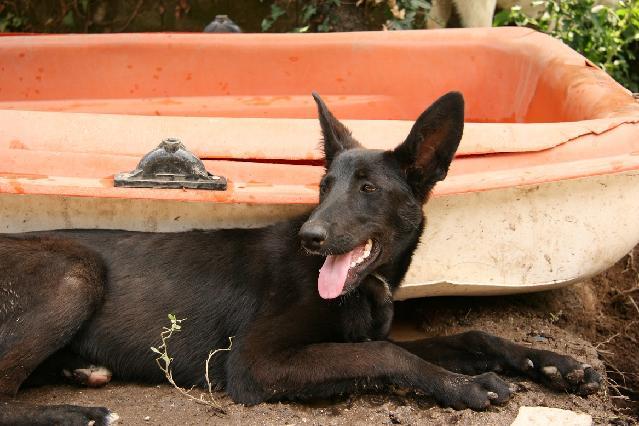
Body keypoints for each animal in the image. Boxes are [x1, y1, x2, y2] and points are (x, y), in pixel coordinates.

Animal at [0, 91, 600, 424]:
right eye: (323, 187)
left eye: (368, 190)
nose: (311, 237)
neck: (367, 287)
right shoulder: (254, 362)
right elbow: (384, 355)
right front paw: (466, 387)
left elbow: (471, 336)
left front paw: (557, 365)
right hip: (76, 271)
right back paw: (82, 413)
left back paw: (82, 374)